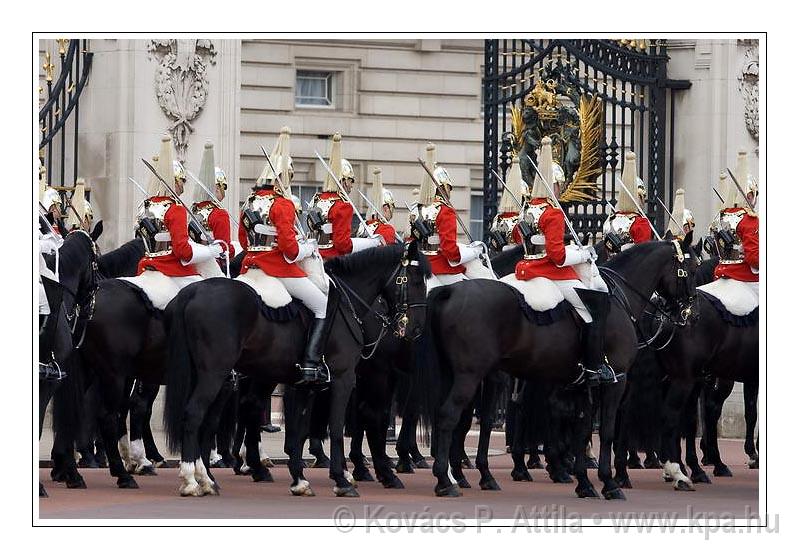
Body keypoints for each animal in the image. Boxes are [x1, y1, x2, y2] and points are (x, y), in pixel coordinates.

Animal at [159, 243, 428, 496]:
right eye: (415, 280)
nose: (416, 329)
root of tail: (193, 291)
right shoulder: (345, 378)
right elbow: (339, 427)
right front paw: (342, 479)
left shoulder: (307, 384)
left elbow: (299, 430)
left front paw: (300, 480)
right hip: (216, 373)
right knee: (196, 414)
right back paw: (194, 480)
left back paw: (212, 476)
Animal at [416, 240, 696, 498]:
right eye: (691, 268)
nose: (691, 314)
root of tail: (449, 290)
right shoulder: (617, 380)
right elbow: (605, 431)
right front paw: (609, 483)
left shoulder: (585, 384)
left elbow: (582, 431)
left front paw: (585, 484)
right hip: (470, 375)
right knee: (449, 416)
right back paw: (446, 480)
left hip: (457, 374)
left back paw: (464, 476)